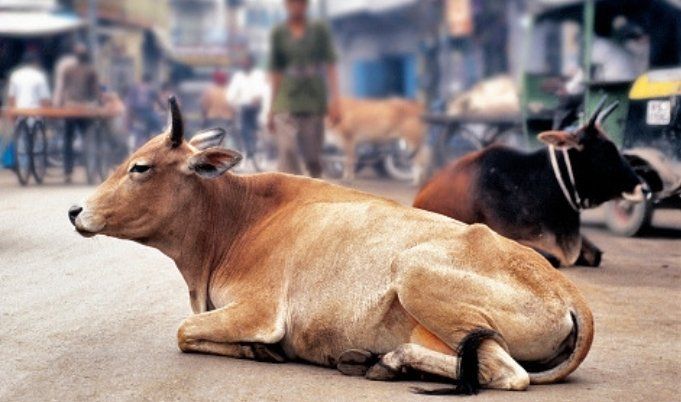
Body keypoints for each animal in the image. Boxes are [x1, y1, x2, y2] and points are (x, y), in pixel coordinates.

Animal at [68, 97, 594, 395]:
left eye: (140, 167)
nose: (76, 210)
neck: (236, 221)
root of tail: (569, 293)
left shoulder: (260, 311)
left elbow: (183, 330)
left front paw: (258, 351)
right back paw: (371, 361)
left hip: (413, 273)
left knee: (507, 374)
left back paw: (387, 361)